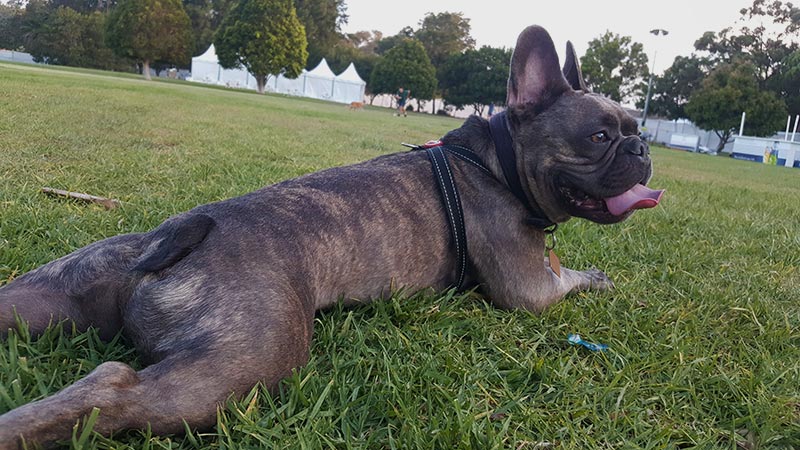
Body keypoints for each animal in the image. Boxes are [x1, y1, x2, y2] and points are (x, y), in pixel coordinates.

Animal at [0, 26, 664, 448]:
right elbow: (568, 278)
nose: (642, 146)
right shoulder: (530, 290)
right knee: (115, 387)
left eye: (635, 126)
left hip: (57, 291)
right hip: (246, 361)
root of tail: (182, 231)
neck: (494, 162)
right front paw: (600, 278)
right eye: (600, 136)